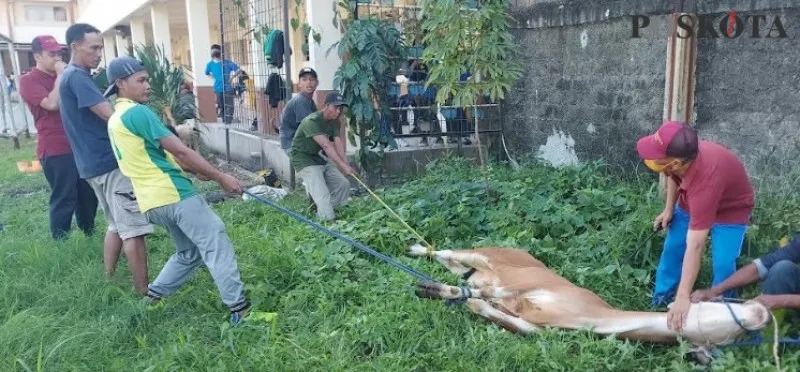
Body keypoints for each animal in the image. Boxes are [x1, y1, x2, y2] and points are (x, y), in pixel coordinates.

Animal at [410, 246, 772, 348]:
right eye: (719, 304)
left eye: (730, 339)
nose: (763, 313)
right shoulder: (526, 283)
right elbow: (492, 293)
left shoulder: (533, 326)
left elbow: (482, 304)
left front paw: (435, 291)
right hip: (490, 253)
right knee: (444, 251)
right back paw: (415, 248)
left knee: (456, 269)